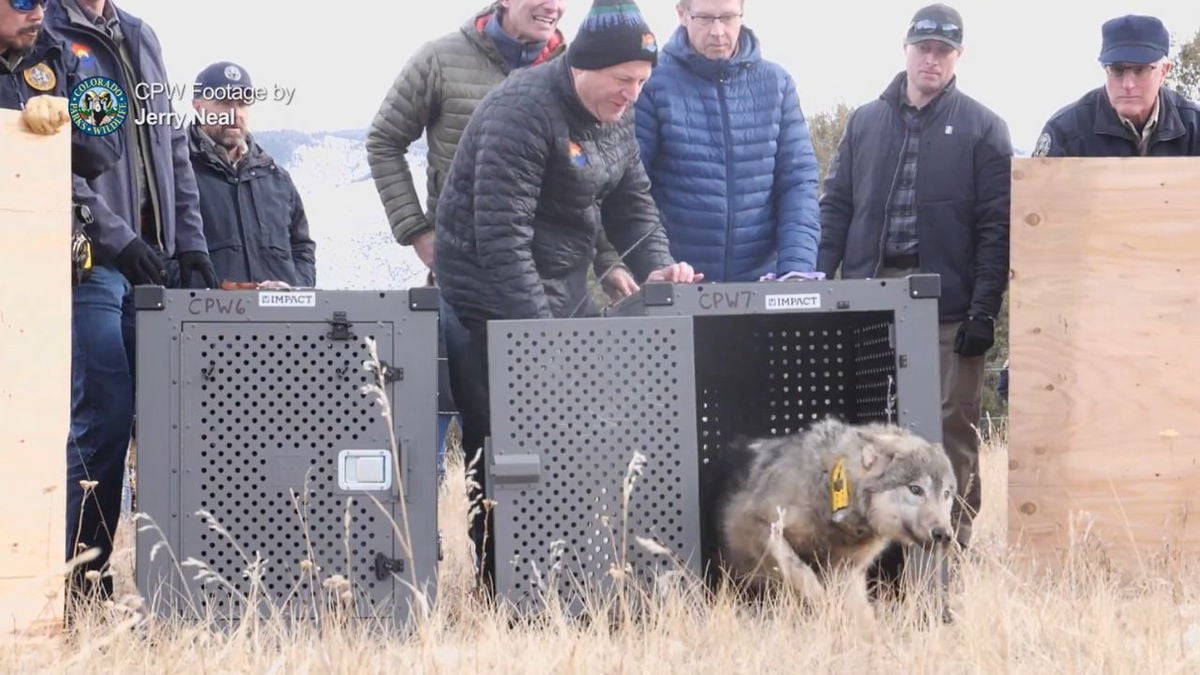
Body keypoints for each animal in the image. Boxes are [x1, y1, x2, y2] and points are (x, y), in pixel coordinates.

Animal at [710, 417, 955, 624]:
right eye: (916, 489)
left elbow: (862, 617)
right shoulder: (762, 525)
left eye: (946, 494)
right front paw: (822, 605)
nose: (944, 534)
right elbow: (801, 572)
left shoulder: (847, 571)